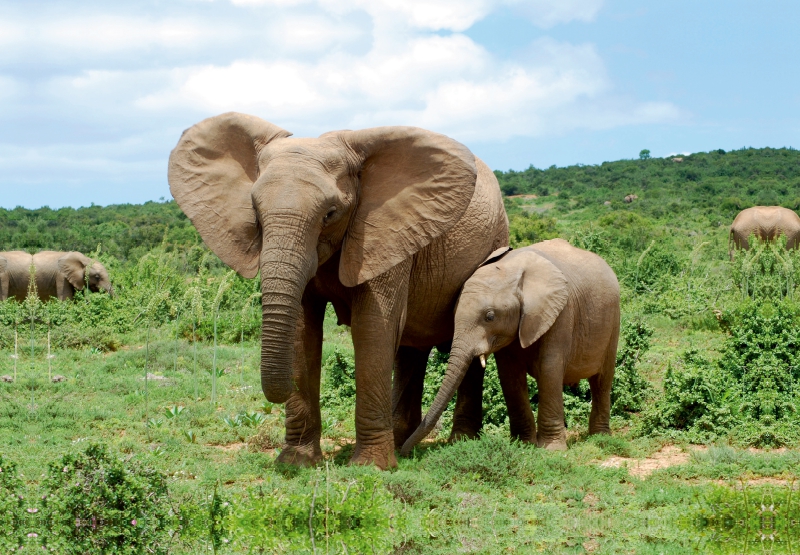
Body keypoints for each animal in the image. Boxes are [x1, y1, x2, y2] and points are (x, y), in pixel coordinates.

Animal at [169, 111, 510, 466]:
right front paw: (297, 462)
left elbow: (372, 328)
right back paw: (402, 441)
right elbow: (303, 331)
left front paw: (370, 467)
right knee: (410, 347)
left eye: (330, 214)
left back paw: (459, 442)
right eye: (256, 213)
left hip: (494, 240)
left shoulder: (382, 232)